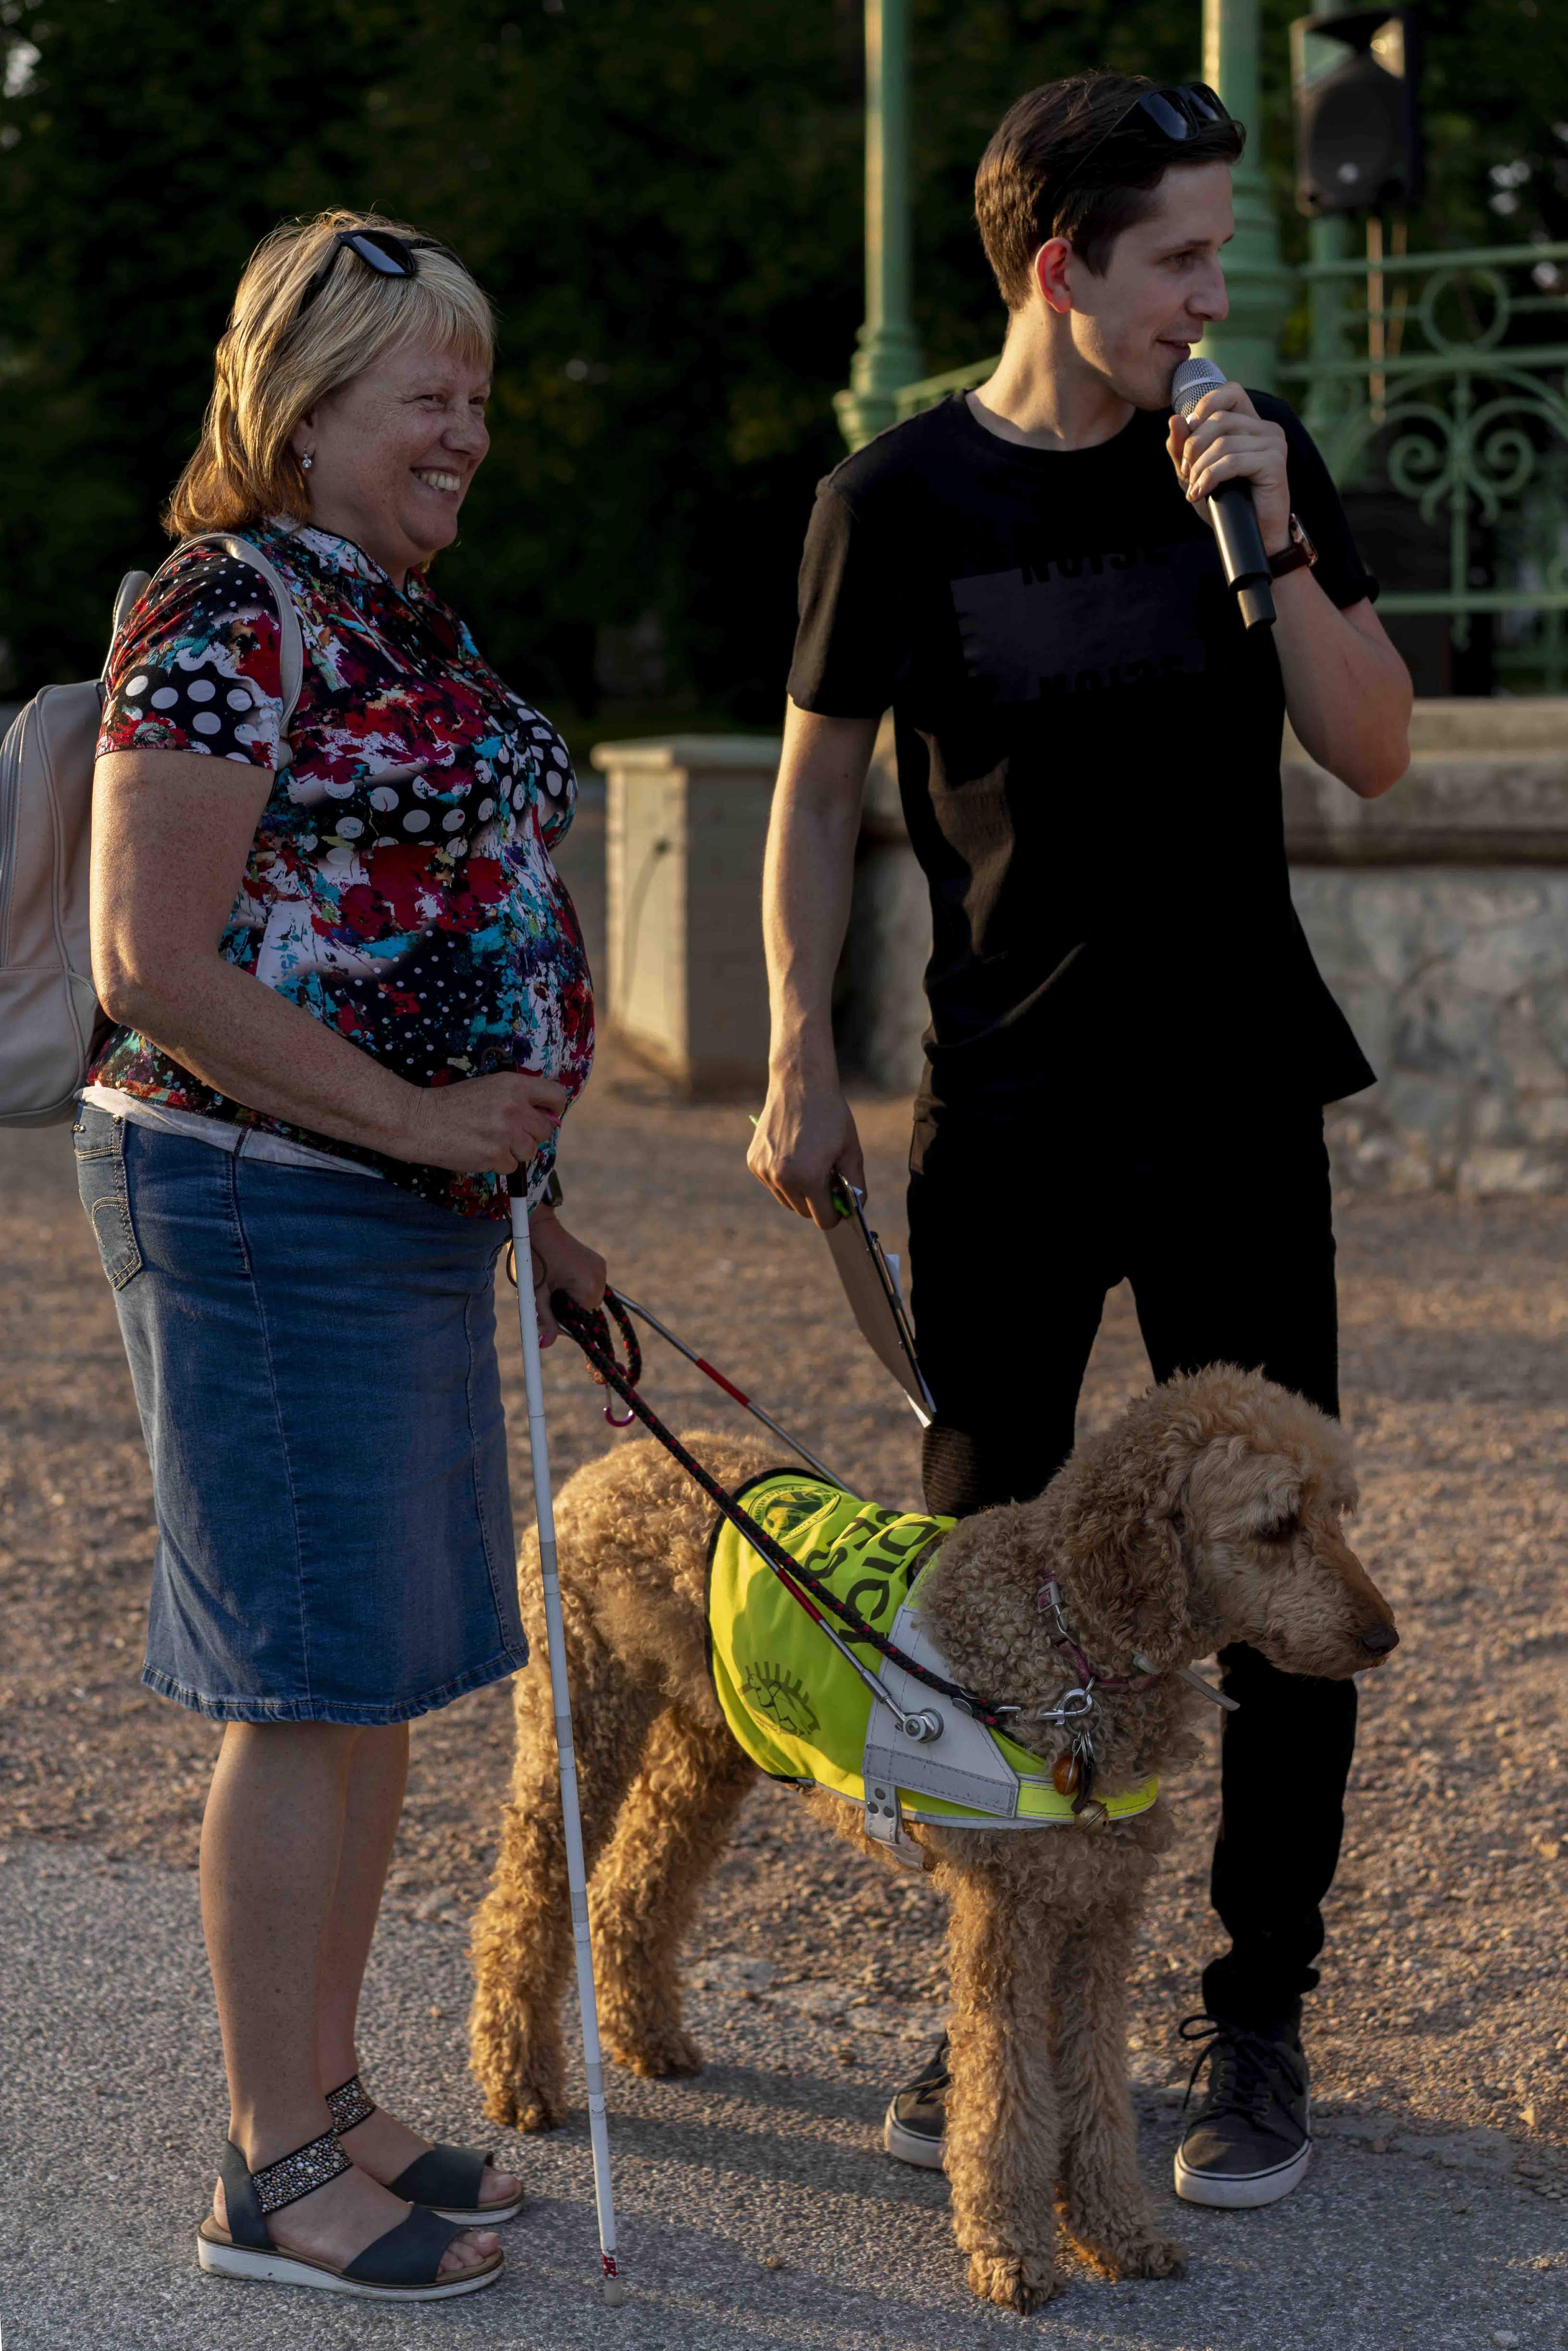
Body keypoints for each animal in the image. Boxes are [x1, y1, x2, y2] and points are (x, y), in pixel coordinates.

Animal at [469, 1364, 1398, 2311]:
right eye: (1276, 1524)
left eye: (1339, 1511)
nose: (1383, 1637)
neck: (1064, 1637)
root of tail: (606, 1467)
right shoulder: (1008, 1916)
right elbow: (1007, 2092)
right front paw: (1011, 2247)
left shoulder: (1098, 1912)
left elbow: (1094, 2085)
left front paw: (1114, 2229)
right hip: (581, 1724)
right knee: (523, 1902)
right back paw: (519, 2075)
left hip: (711, 1743)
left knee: (634, 1885)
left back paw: (644, 2034)